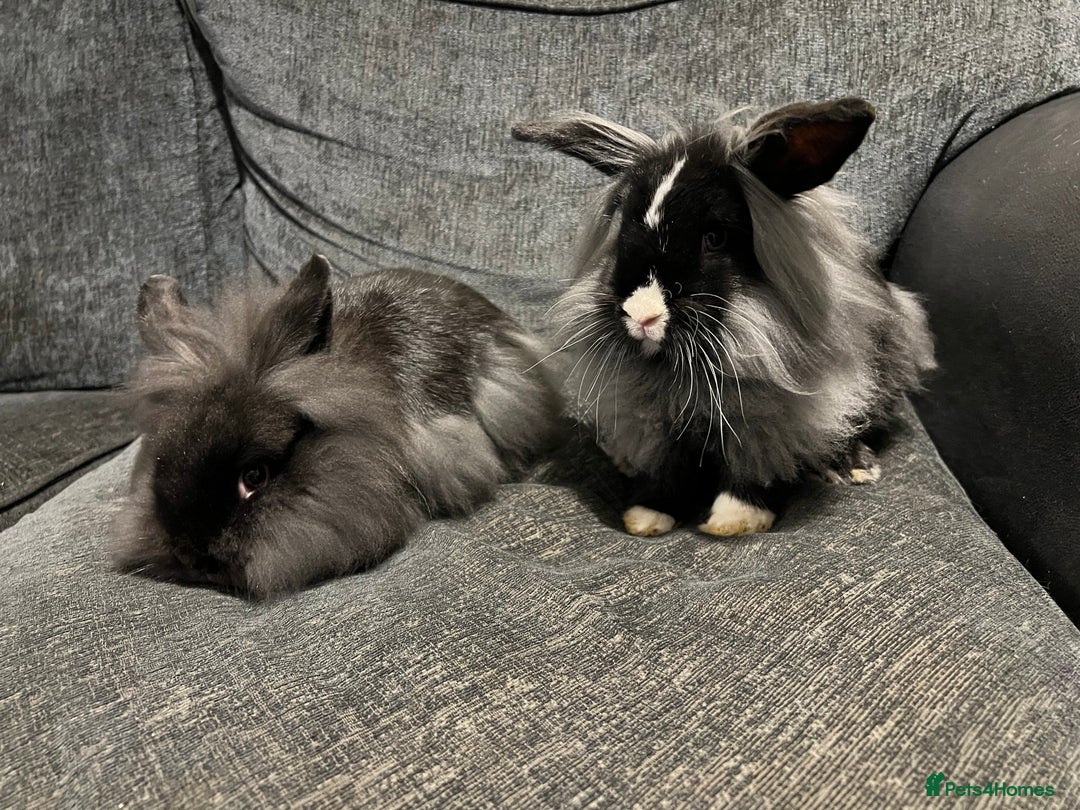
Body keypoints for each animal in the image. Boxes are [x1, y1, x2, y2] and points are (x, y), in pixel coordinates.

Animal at [512, 97, 935, 538]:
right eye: (625, 226)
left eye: (714, 238)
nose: (640, 314)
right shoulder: (655, 419)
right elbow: (665, 467)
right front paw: (647, 516)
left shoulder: (768, 419)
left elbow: (755, 464)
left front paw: (735, 519)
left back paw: (854, 467)